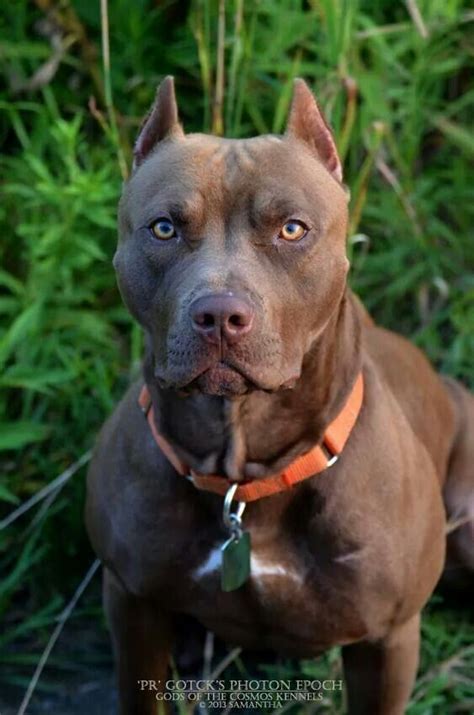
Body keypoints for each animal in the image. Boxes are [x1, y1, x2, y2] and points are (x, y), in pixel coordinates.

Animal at [86, 78, 474, 715]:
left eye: (292, 229)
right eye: (164, 228)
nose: (219, 315)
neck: (245, 474)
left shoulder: (387, 642)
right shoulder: (131, 604)